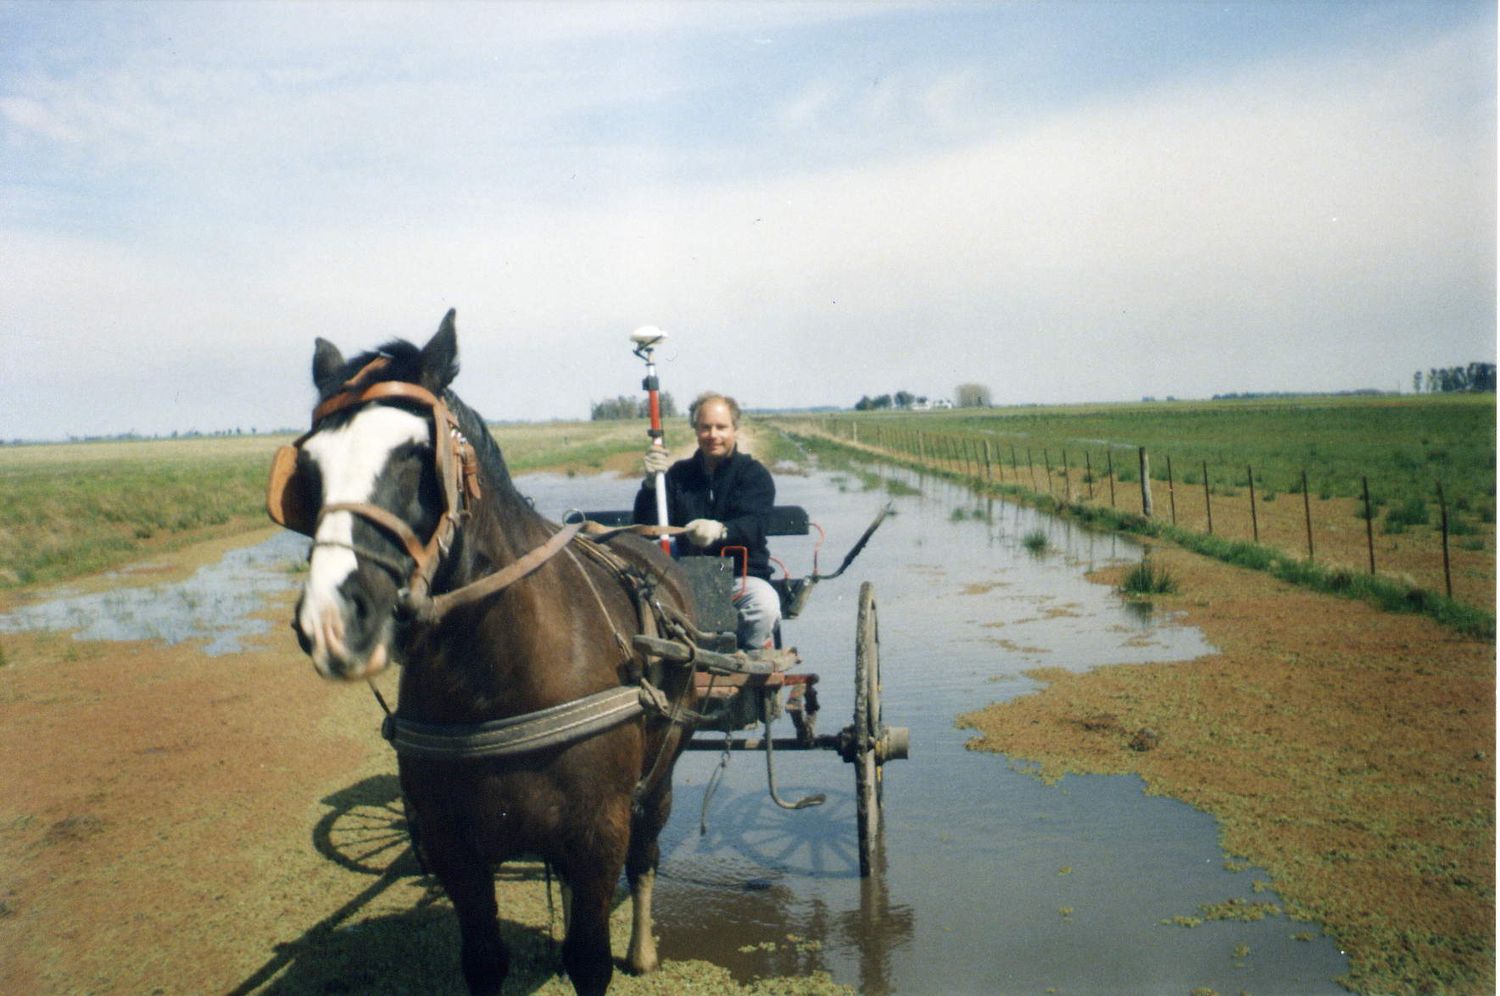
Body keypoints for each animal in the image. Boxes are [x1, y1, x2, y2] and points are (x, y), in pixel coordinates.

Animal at [273, 312, 699, 996]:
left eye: (415, 454)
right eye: (307, 468)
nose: (332, 620)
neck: (498, 683)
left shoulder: (598, 836)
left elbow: (590, 958)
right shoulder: (454, 848)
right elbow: (484, 961)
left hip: (657, 782)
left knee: (647, 855)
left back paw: (643, 947)